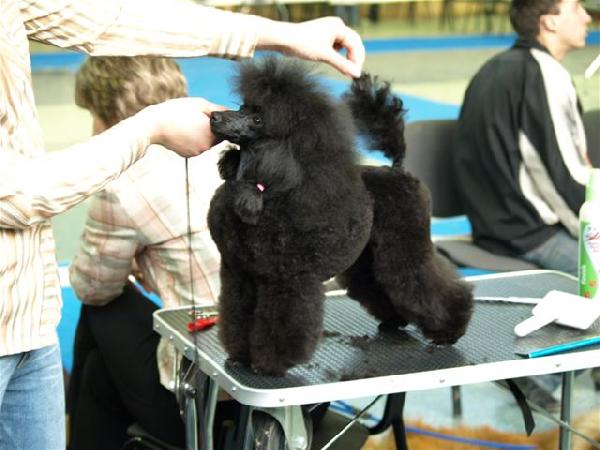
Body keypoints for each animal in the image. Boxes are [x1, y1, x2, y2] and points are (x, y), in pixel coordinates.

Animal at [208, 56, 473, 376]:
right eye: (243, 106)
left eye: (258, 119)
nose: (214, 116)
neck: (263, 193)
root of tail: (398, 169)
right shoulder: (239, 274)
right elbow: (237, 316)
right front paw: (240, 357)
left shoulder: (286, 280)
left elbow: (280, 325)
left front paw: (269, 365)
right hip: (368, 256)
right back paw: (394, 321)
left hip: (404, 246)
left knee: (423, 283)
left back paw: (449, 332)